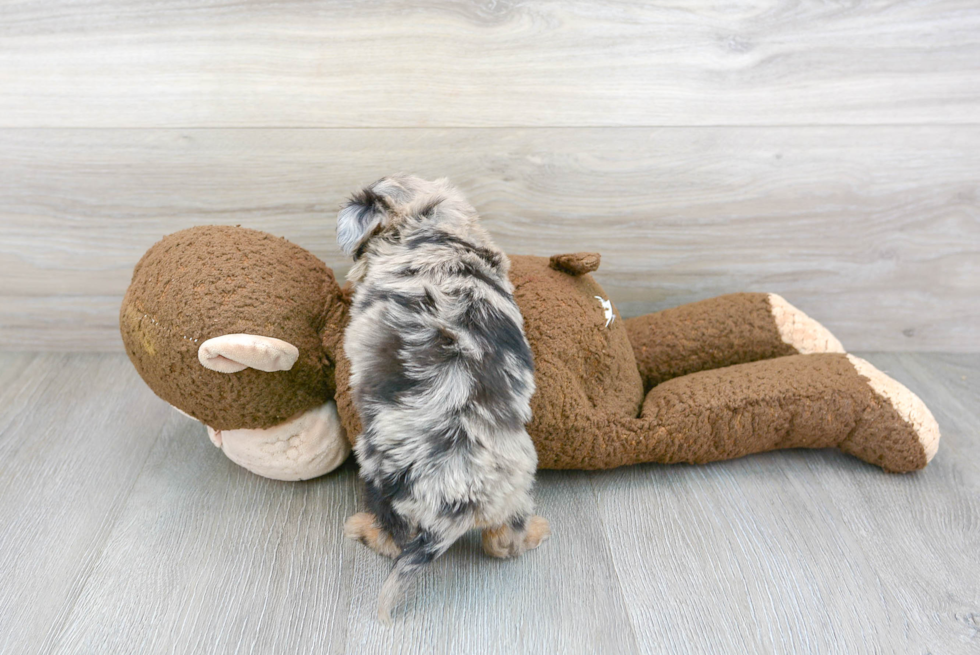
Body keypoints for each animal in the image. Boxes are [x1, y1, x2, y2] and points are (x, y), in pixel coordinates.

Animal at [336, 177, 552, 624]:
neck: (434, 226)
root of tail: (463, 500)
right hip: (516, 489)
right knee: (504, 542)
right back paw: (537, 531)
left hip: (380, 477)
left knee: (394, 540)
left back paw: (363, 528)